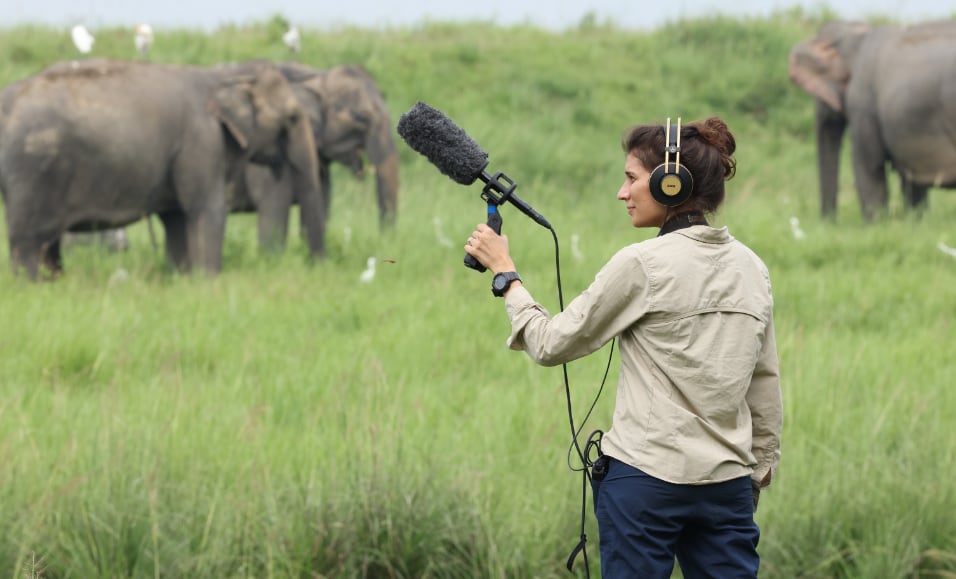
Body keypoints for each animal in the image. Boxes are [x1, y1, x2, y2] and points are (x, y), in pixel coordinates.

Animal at [0, 58, 324, 279]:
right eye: (293, 117)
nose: (314, 263)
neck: (222, 75)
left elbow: (176, 218)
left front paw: (180, 279)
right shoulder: (201, 141)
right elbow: (206, 210)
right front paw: (209, 283)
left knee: (46, 242)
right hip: (33, 169)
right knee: (28, 240)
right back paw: (32, 287)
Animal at [788, 20, 956, 221]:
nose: (828, 223)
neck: (858, 33)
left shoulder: (863, 104)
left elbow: (868, 164)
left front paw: (876, 224)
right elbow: (911, 180)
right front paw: (914, 223)